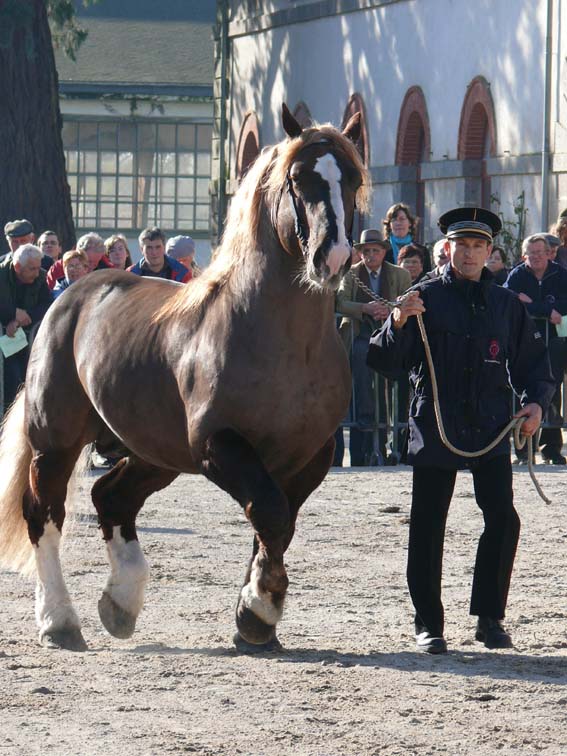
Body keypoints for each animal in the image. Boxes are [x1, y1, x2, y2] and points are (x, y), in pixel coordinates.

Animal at [0, 105, 370, 648]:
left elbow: (276, 524)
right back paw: (59, 622)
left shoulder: (310, 458)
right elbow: (271, 513)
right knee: (44, 512)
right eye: (298, 179)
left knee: (111, 499)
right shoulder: (218, 446)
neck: (283, 346)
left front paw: (255, 620)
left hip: (154, 452)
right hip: (57, 441)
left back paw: (121, 603)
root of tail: (74, 294)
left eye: (353, 179)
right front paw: (259, 608)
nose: (334, 256)